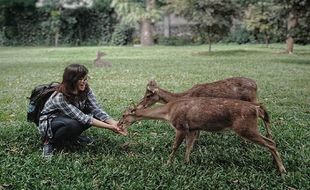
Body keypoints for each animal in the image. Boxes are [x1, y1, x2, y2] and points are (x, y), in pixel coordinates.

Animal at [118, 98, 286, 175]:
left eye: (124, 115)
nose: (119, 124)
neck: (168, 112)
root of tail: (257, 108)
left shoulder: (181, 126)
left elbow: (175, 146)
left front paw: (167, 164)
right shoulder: (192, 128)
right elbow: (189, 146)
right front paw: (187, 163)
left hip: (245, 127)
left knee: (270, 142)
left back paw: (282, 169)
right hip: (248, 126)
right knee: (271, 140)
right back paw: (276, 164)